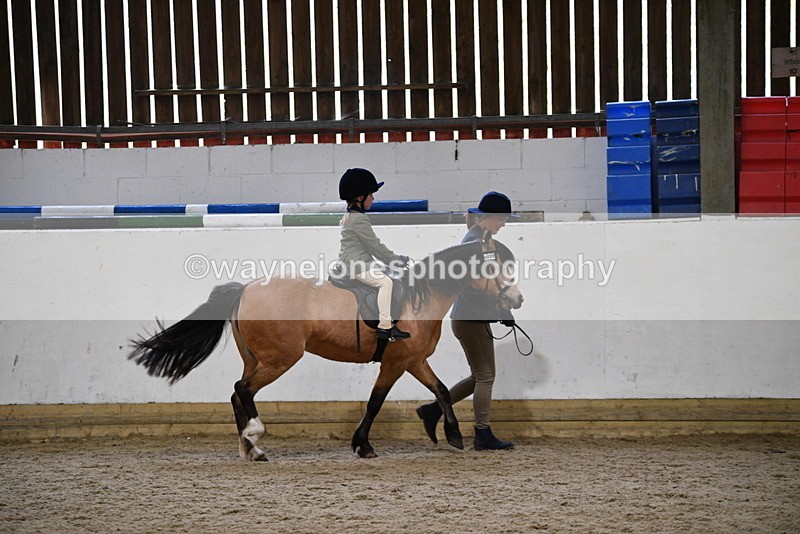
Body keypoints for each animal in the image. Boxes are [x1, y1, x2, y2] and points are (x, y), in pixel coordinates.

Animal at [128, 236, 523, 460]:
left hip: (256, 358)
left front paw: (452, 434)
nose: (517, 299)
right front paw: (363, 445)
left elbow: (440, 389)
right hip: (280, 359)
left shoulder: (413, 360)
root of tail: (246, 288)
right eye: (497, 269)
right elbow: (375, 402)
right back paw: (254, 437)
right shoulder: (396, 362)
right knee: (243, 390)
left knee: (237, 393)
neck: (418, 299)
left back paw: (251, 449)